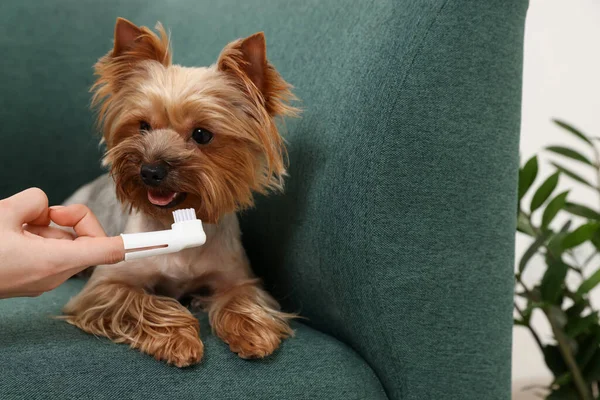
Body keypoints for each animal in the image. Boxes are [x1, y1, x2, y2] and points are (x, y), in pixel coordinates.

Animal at [62, 19, 298, 368]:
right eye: (142, 126)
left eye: (202, 134)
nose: (149, 170)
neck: (175, 221)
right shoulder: (105, 286)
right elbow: (142, 302)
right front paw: (179, 339)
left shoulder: (237, 278)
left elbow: (241, 298)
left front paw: (252, 333)